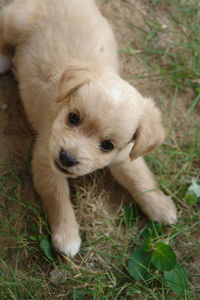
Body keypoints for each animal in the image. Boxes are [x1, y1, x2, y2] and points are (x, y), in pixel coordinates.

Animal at [0, 0, 177, 258]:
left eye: (107, 145)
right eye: (73, 118)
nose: (67, 158)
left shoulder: (125, 155)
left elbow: (139, 178)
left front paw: (160, 205)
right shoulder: (45, 158)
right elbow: (58, 197)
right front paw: (67, 236)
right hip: (17, 20)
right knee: (4, 34)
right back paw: (4, 60)